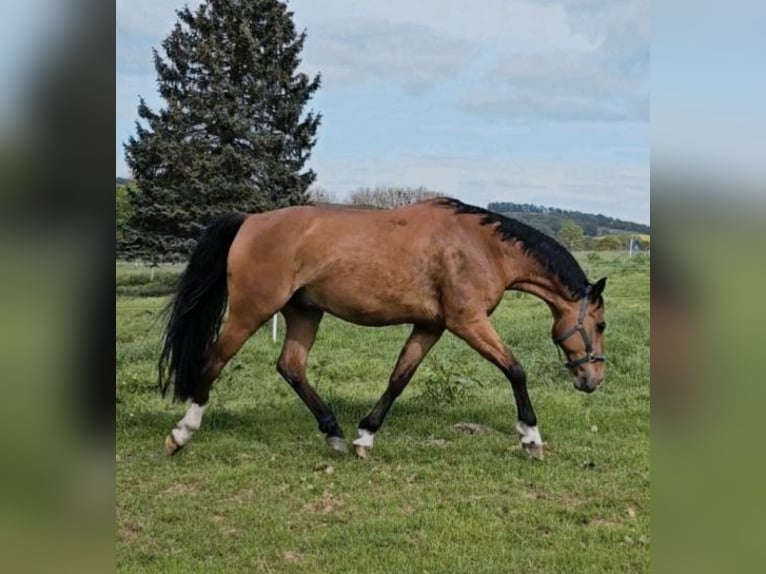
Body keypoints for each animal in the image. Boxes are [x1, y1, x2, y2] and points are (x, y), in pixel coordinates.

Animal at [159, 198, 607, 460]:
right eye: (600, 324)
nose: (593, 378)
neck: (483, 248)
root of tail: (250, 220)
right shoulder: (468, 322)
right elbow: (515, 369)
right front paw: (531, 437)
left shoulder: (430, 326)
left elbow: (399, 378)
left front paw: (365, 436)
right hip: (250, 311)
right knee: (214, 361)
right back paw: (182, 433)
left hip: (304, 313)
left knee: (291, 367)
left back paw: (335, 434)